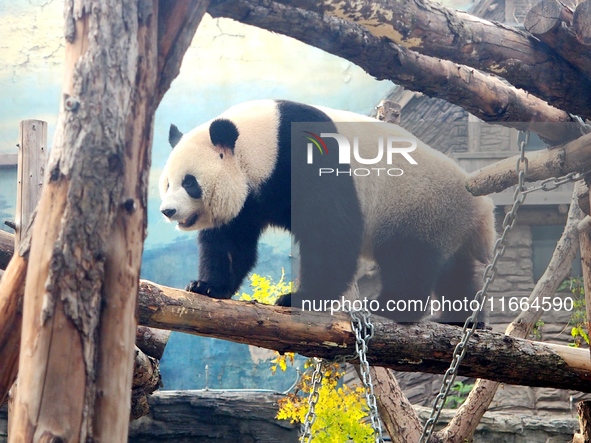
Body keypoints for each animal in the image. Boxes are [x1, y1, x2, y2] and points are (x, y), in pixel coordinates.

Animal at [160, 99, 498, 322]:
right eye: (166, 183)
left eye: (189, 182)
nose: (167, 211)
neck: (261, 142)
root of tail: (481, 210)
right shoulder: (249, 199)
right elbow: (231, 242)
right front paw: (207, 286)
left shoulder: (306, 157)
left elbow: (330, 234)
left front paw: (299, 298)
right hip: (445, 222)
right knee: (454, 272)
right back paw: (463, 319)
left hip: (418, 208)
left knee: (410, 260)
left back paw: (387, 306)